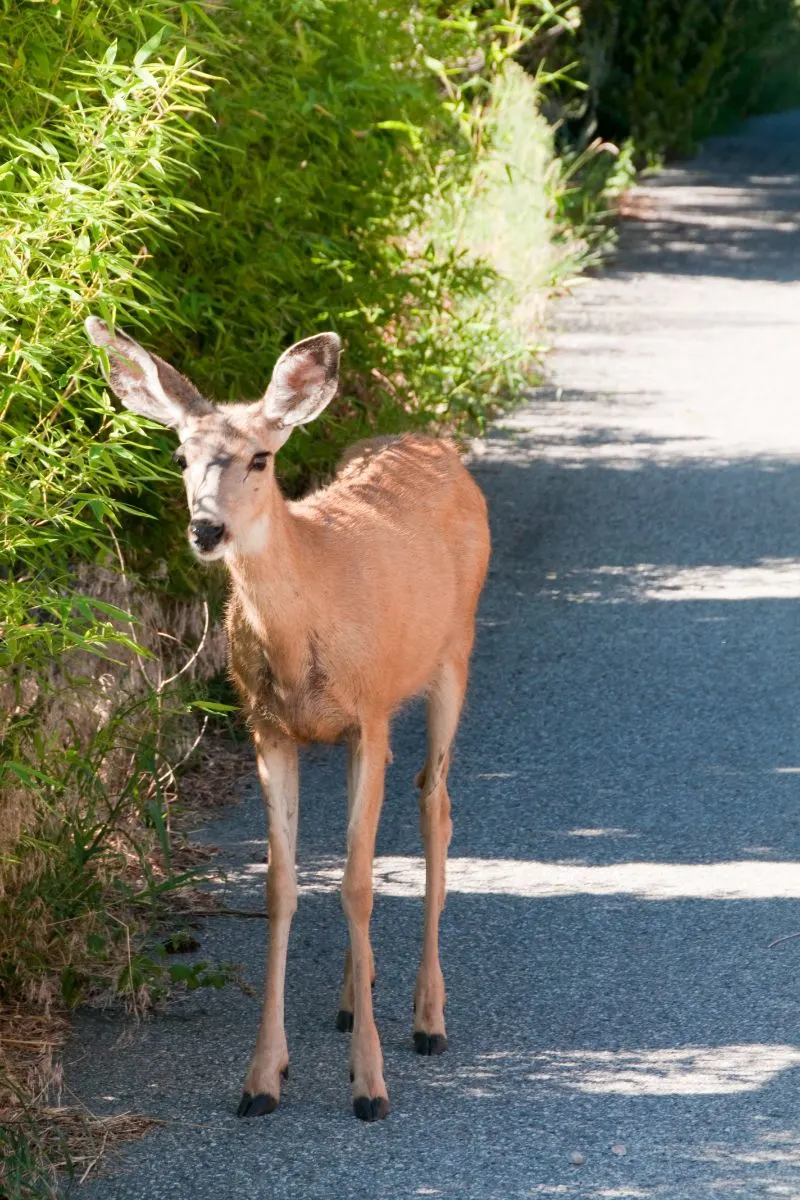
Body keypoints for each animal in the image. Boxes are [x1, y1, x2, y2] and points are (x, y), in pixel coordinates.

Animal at [86, 314, 489, 1118]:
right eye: (180, 454)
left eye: (261, 457)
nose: (206, 530)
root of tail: (432, 442)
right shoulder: (270, 728)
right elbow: (284, 888)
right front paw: (262, 1078)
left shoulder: (369, 712)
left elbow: (358, 885)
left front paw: (370, 1086)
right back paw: (351, 995)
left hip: (452, 654)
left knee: (434, 802)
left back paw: (428, 1017)